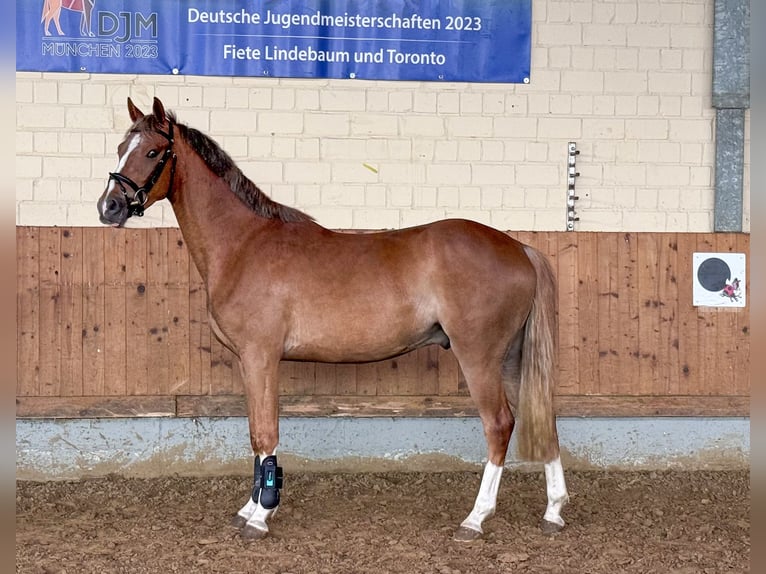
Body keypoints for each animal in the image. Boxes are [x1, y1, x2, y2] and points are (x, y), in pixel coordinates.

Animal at [97, 97, 568, 544]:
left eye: (152, 151)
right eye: (121, 148)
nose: (109, 206)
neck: (243, 243)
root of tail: (519, 248)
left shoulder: (260, 357)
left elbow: (264, 433)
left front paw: (261, 516)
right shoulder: (251, 362)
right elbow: (254, 434)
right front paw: (250, 508)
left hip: (479, 356)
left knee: (499, 424)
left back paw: (475, 519)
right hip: (511, 358)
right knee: (543, 419)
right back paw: (553, 511)